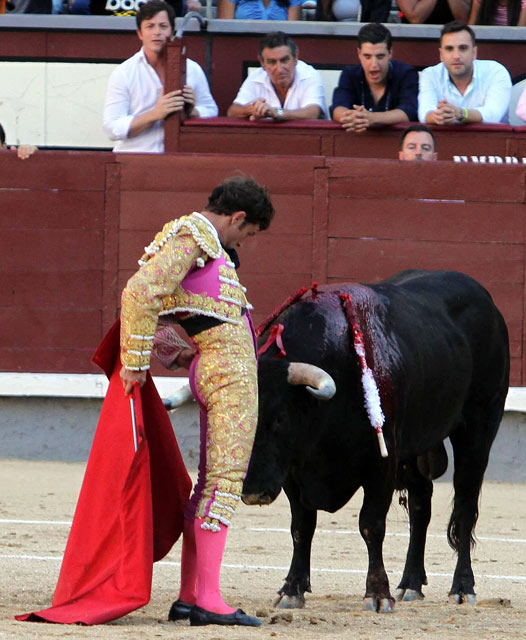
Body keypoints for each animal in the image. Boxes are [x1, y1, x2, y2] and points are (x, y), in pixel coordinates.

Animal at [242, 268, 512, 608]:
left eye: (279, 417)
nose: (252, 491)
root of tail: (488, 302)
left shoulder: (382, 461)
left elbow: (371, 524)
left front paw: (378, 594)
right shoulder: (292, 469)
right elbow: (301, 527)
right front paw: (292, 589)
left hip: (479, 425)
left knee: (464, 506)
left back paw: (462, 587)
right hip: (414, 447)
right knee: (421, 508)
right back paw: (411, 583)